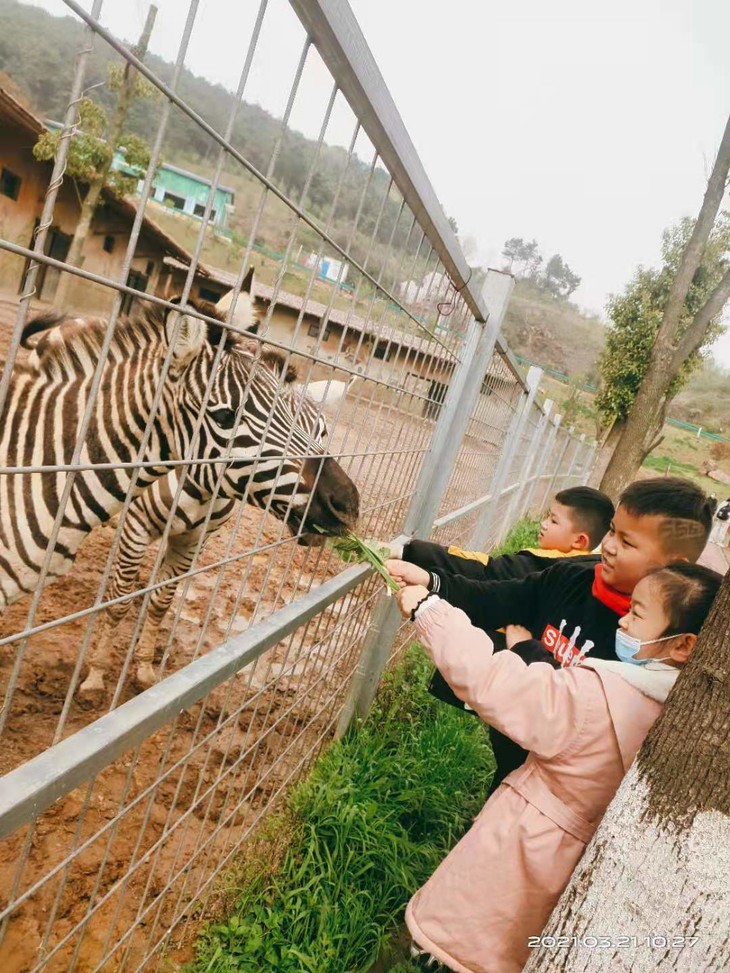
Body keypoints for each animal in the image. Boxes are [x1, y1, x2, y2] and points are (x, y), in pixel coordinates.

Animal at [0, 292, 358, 660]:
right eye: (225, 416)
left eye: (322, 432)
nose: (347, 504)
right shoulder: (137, 526)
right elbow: (120, 600)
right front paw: (98, 668)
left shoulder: (193, 540)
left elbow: (162, 601)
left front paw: (144, 663)